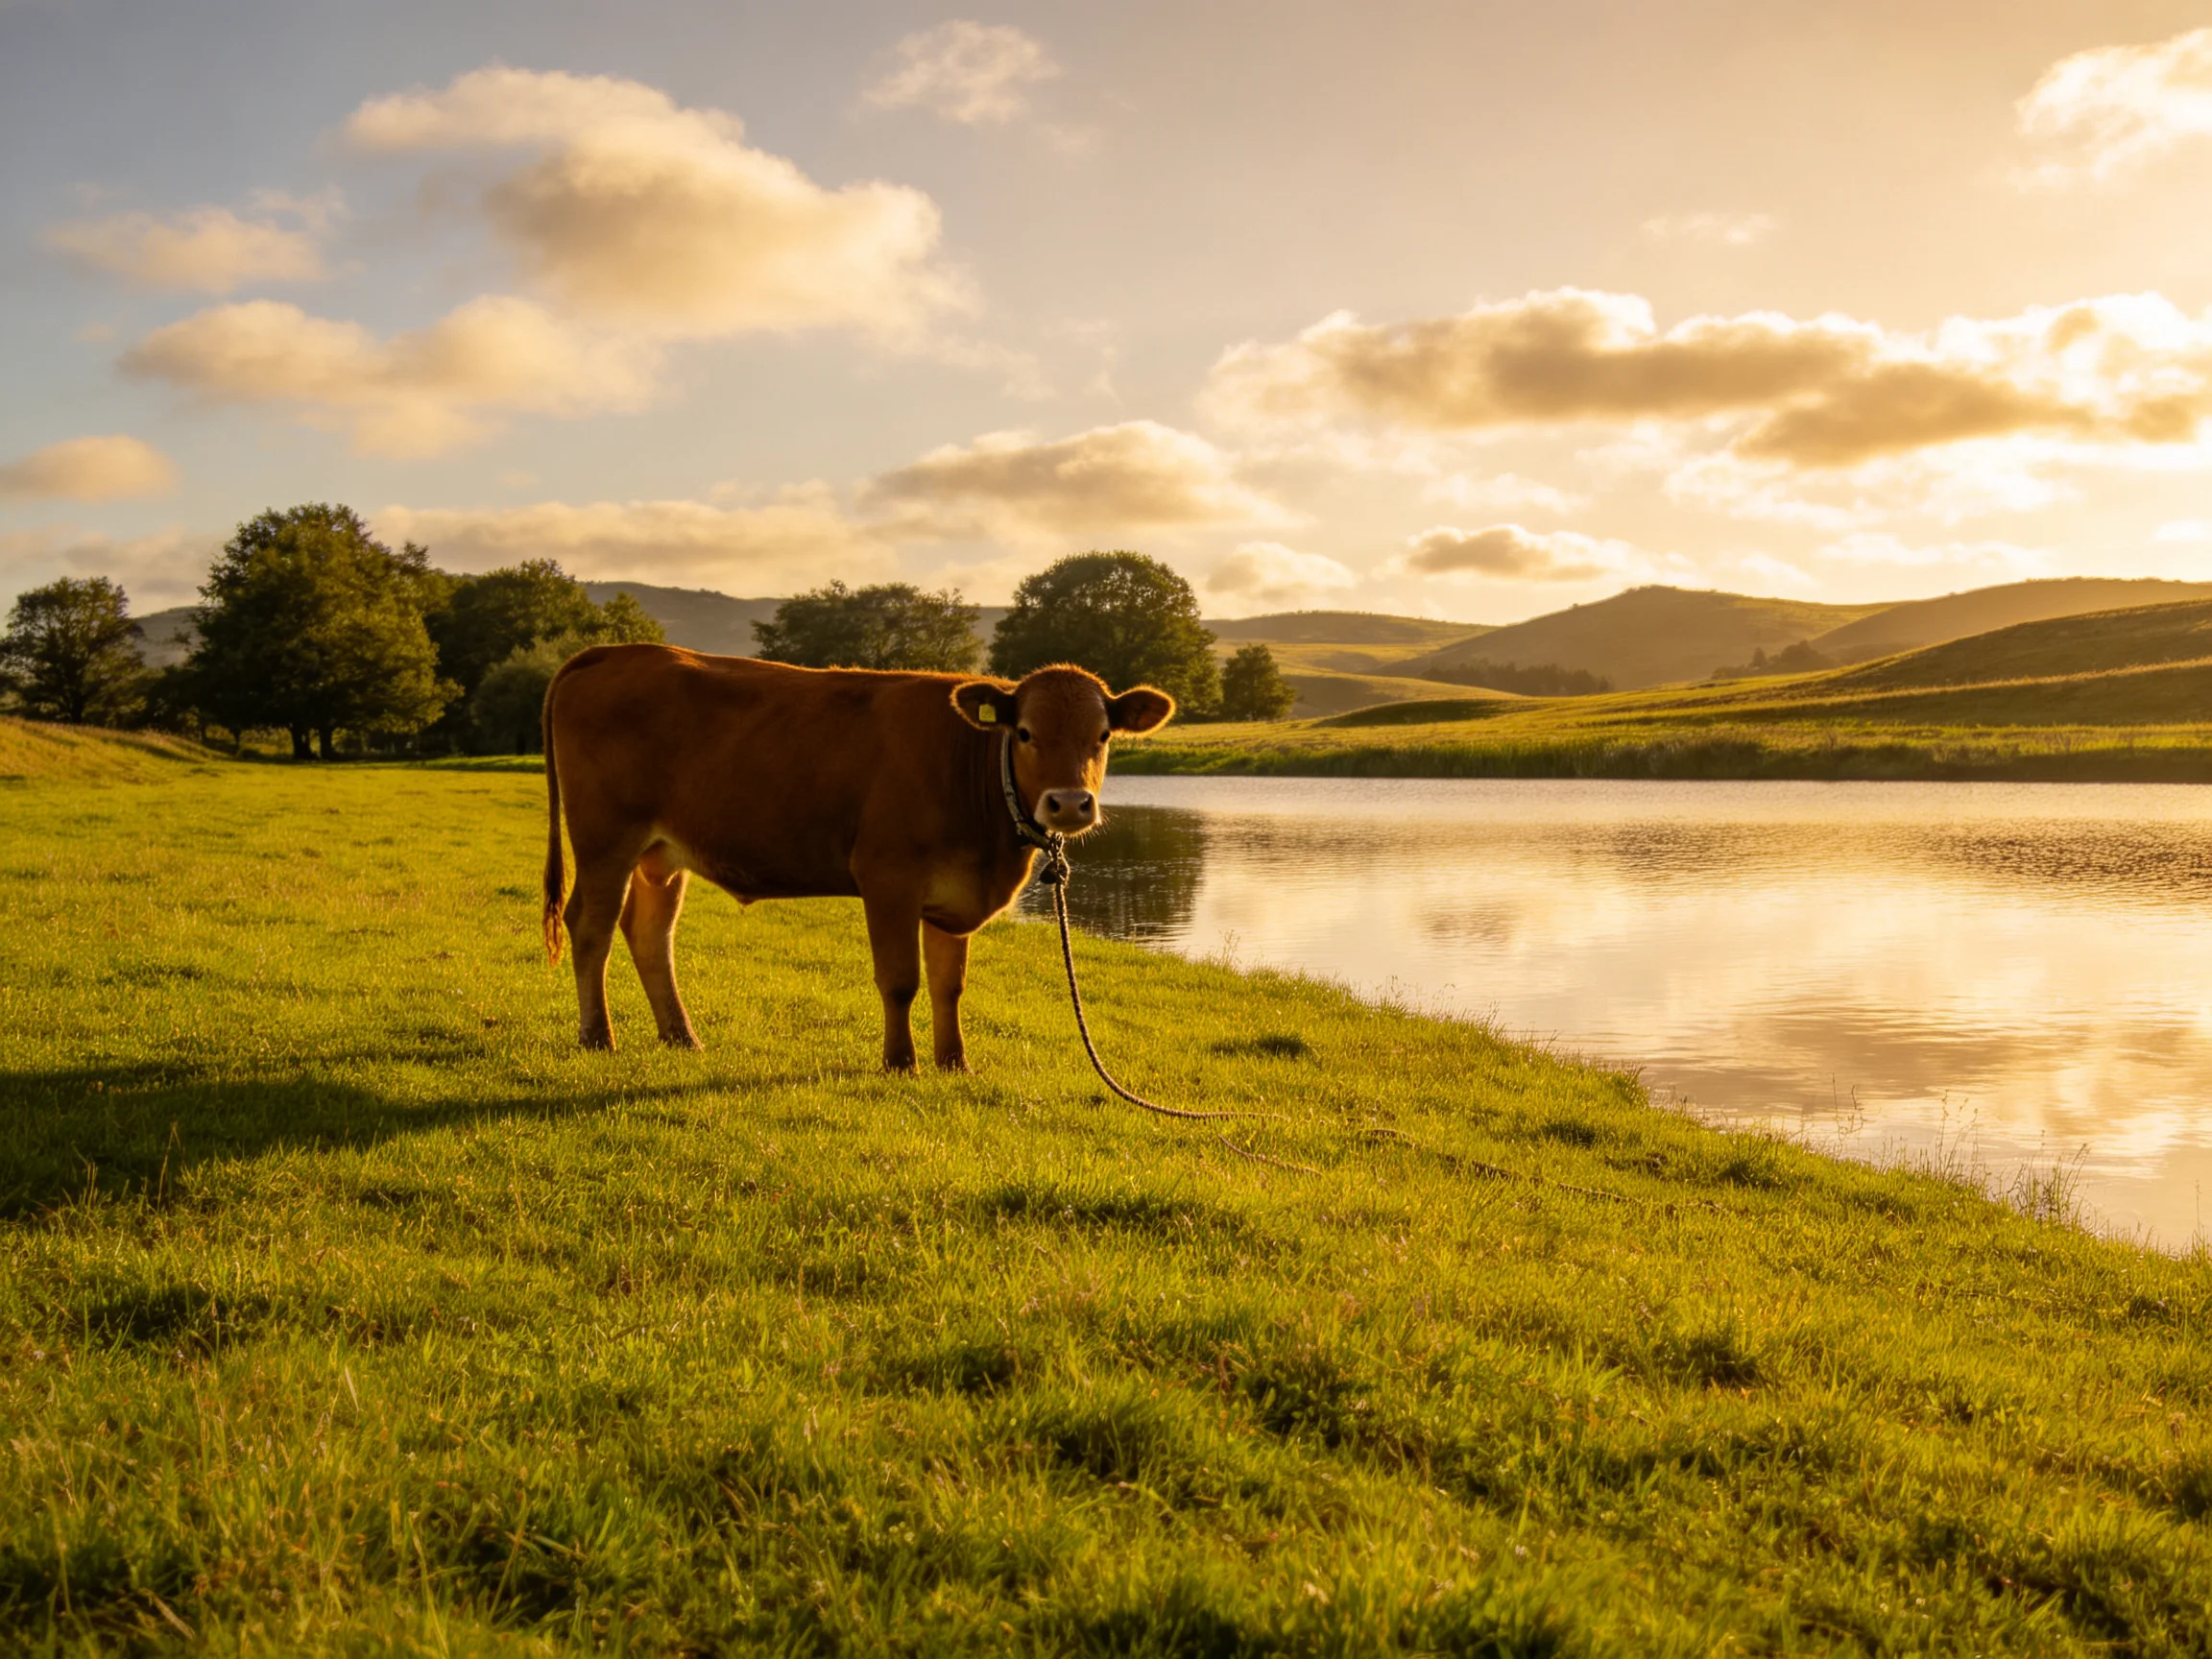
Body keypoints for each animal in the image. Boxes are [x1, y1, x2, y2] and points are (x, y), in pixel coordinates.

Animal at [539, 645, 1176, 1069]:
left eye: (1102, 736)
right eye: (1024, 732)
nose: (1069, 803)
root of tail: (616, 652)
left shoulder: (953, 892)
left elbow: (949, 984)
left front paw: (954, 1063)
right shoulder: (887, 875)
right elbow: (900, 979)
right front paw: (901, 1062)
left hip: (661, 853)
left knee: (650, 933)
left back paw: (681, 1036)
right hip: (605, 837)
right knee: (590, 925)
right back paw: (598, 1036)